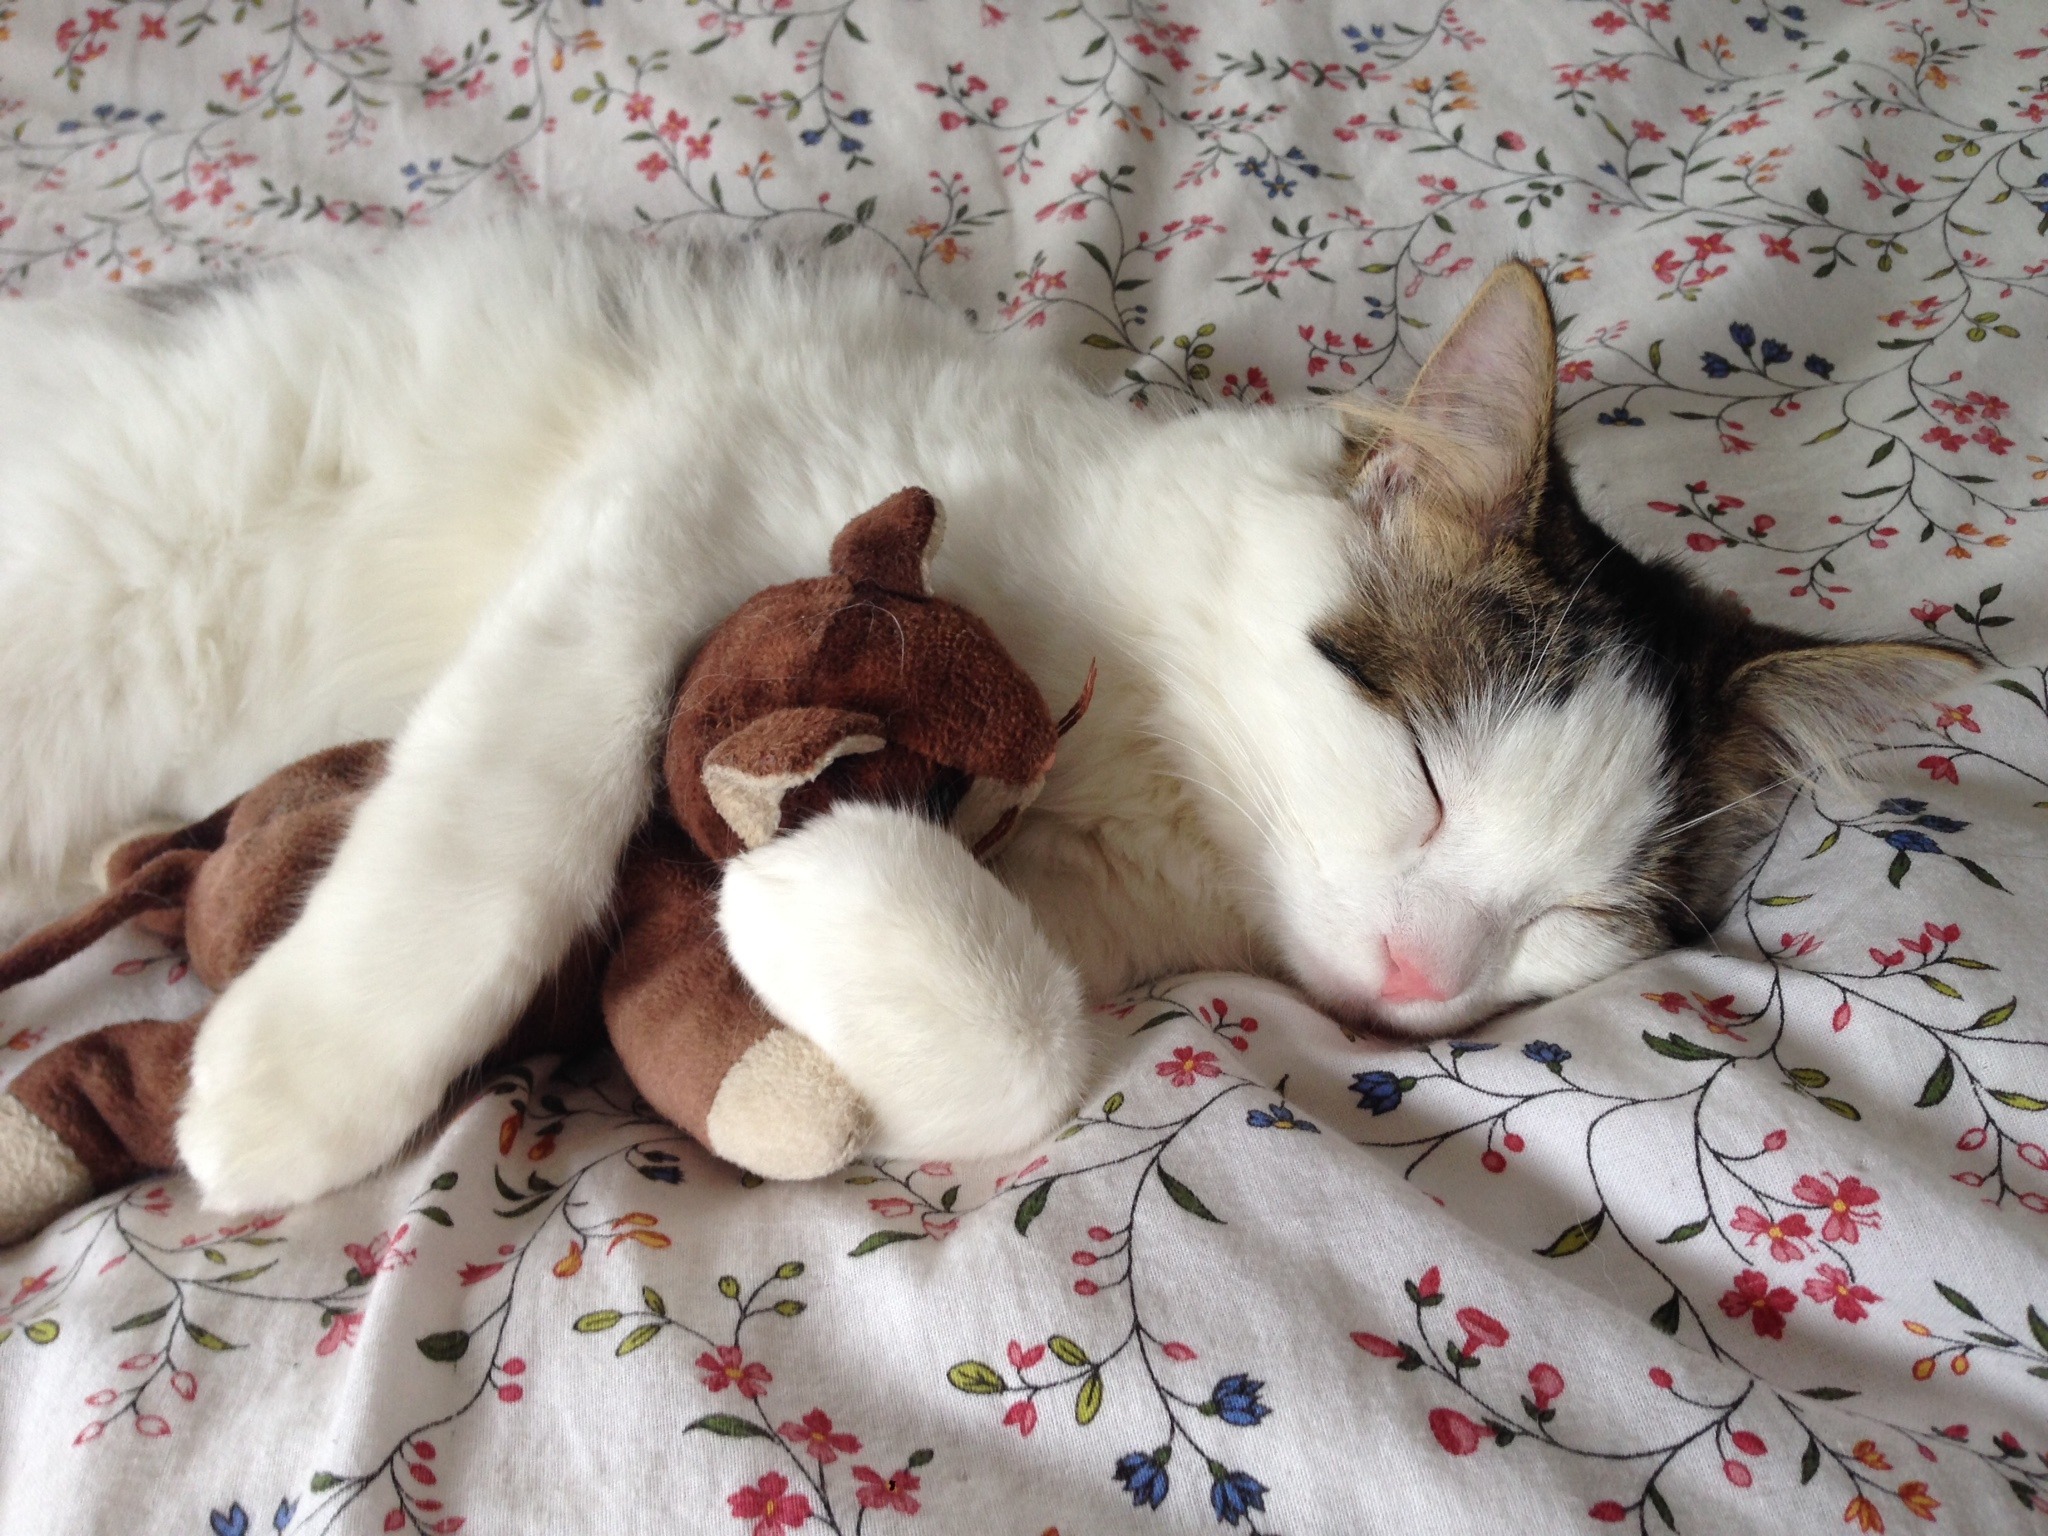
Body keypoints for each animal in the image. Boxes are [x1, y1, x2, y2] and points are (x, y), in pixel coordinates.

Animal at [0, 225, 1966, 1212]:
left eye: (1572, 924)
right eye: (1419, 771)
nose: (1419, 980)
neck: (1148, 778)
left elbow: (1014, 1054)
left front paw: (803, 889)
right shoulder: (685, 502)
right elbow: (497, 825)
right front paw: (298, 1085)